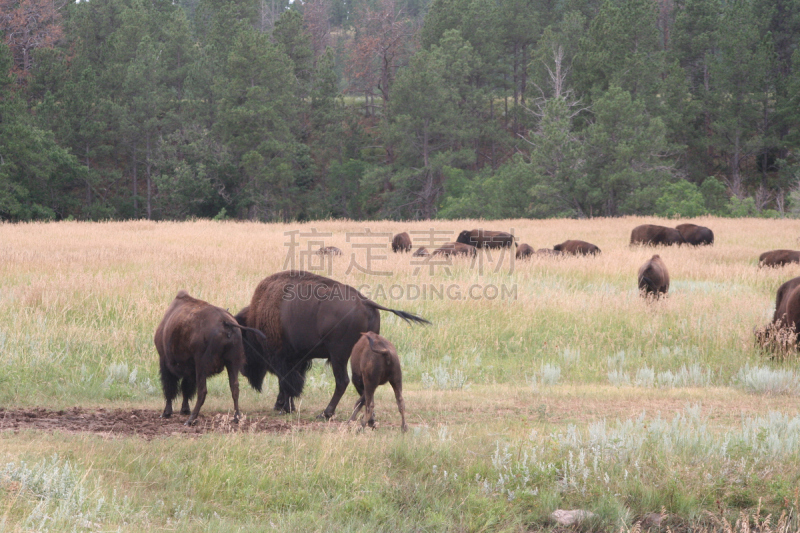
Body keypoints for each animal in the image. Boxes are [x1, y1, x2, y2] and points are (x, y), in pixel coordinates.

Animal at [155, 288, 268, 426]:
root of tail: (226, 322)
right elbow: (186, 388)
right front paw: (184, 410)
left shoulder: (165, 361)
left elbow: (170, 387)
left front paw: (166, 412)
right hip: (232, 363)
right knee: (234, 388)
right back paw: (236, 417)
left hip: (202, 365)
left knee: (202, 391)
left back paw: (191, 419)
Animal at [234, 272, 428, 418]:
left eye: (244, 343)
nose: (243, 369)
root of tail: (364, 301)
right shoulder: (298, 358)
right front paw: (284, 406)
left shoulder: (282, 358)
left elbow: (286, 381)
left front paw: (284, 407)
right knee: (362, 385)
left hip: (338, 355)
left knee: (342, 381)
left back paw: (326, 413)